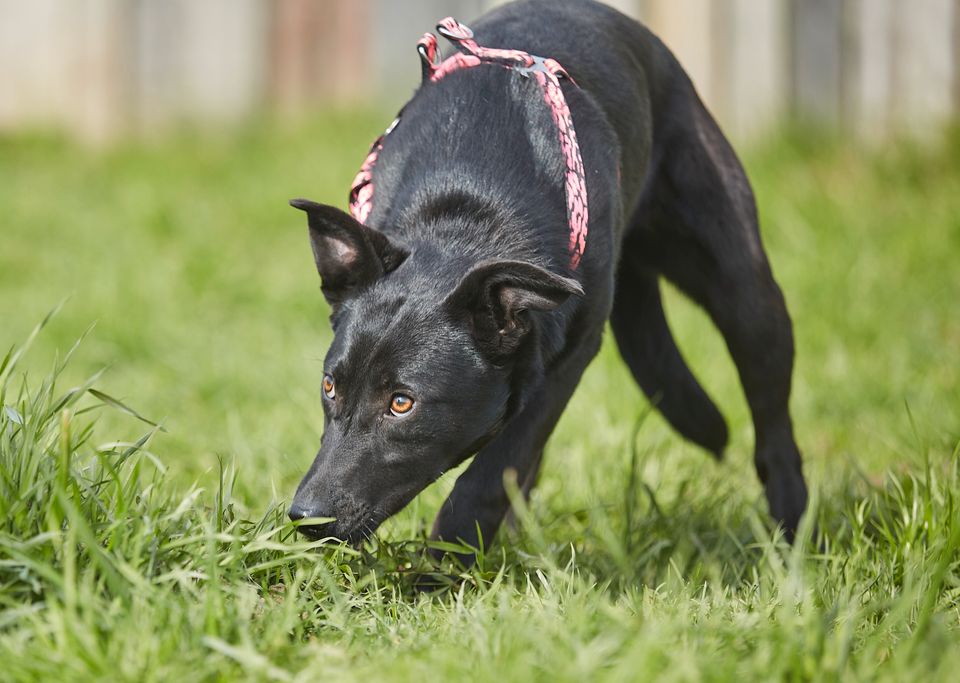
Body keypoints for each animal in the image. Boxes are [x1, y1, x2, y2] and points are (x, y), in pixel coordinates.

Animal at [288, 0, 808, 556]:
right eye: (329, 386)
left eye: (402, 403)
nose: (306, 518)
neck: (468, 212)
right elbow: (515, 466)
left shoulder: (568, 359)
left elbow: (493, 473)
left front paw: (443, 563)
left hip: (745, 291)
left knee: (775, 430)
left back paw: (791, 539)